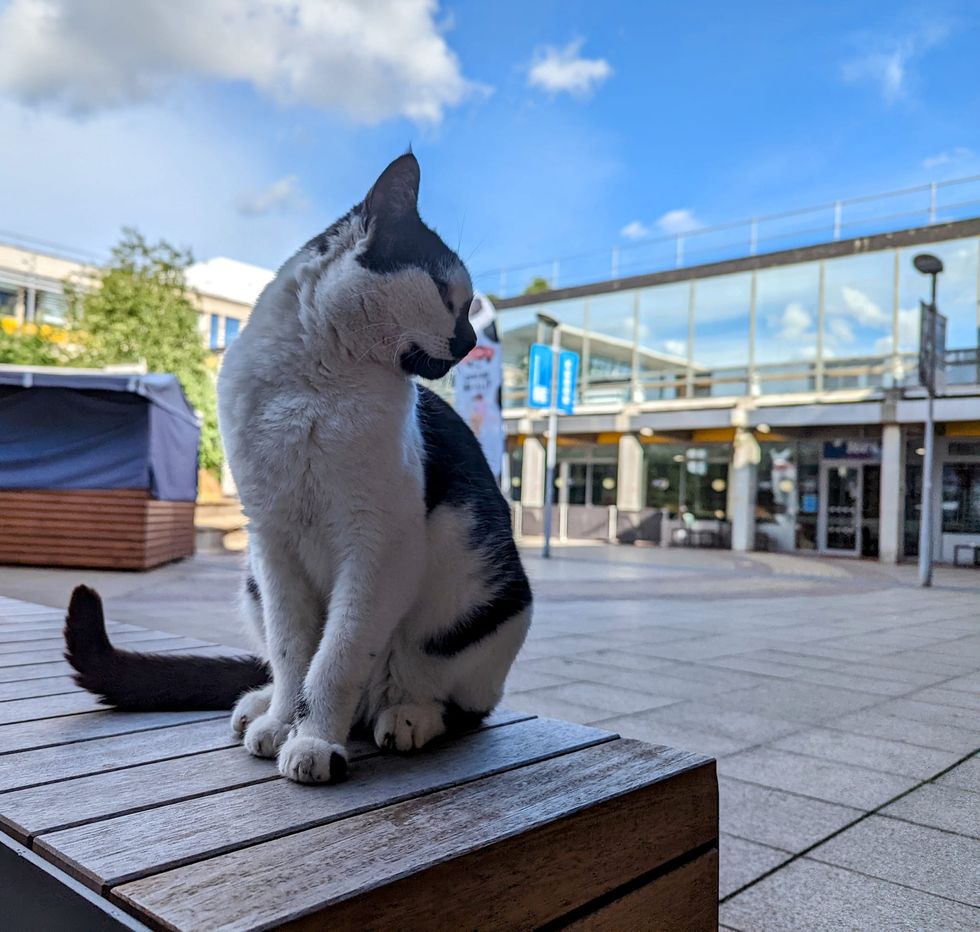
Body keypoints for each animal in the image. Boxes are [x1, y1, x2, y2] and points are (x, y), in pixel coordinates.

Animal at [65, 157, 532, 784]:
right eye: (445, 293)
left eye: (468, 303)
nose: (471, 339)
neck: (314, 386)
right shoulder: (271, 541)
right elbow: (293, 653)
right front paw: (283, 721)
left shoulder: (378, 546)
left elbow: (336, 658)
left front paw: (314, 741)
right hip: (251, 579)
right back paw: (259, 704)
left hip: (488, 606)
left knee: (457, 703)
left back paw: (408, 715)